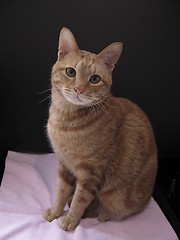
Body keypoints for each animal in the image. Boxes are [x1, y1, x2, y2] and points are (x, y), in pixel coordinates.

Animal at [43, 27, 157, 232]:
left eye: (95, 79)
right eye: (70, 72)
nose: (79, 89)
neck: (66, 119)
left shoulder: (90, 174)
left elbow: (79, 201)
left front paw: (70, 220)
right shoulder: (64, 165)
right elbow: (61, 192)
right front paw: (56, 211)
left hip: (116, 197)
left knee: (119, 209)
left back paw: (102, 213)